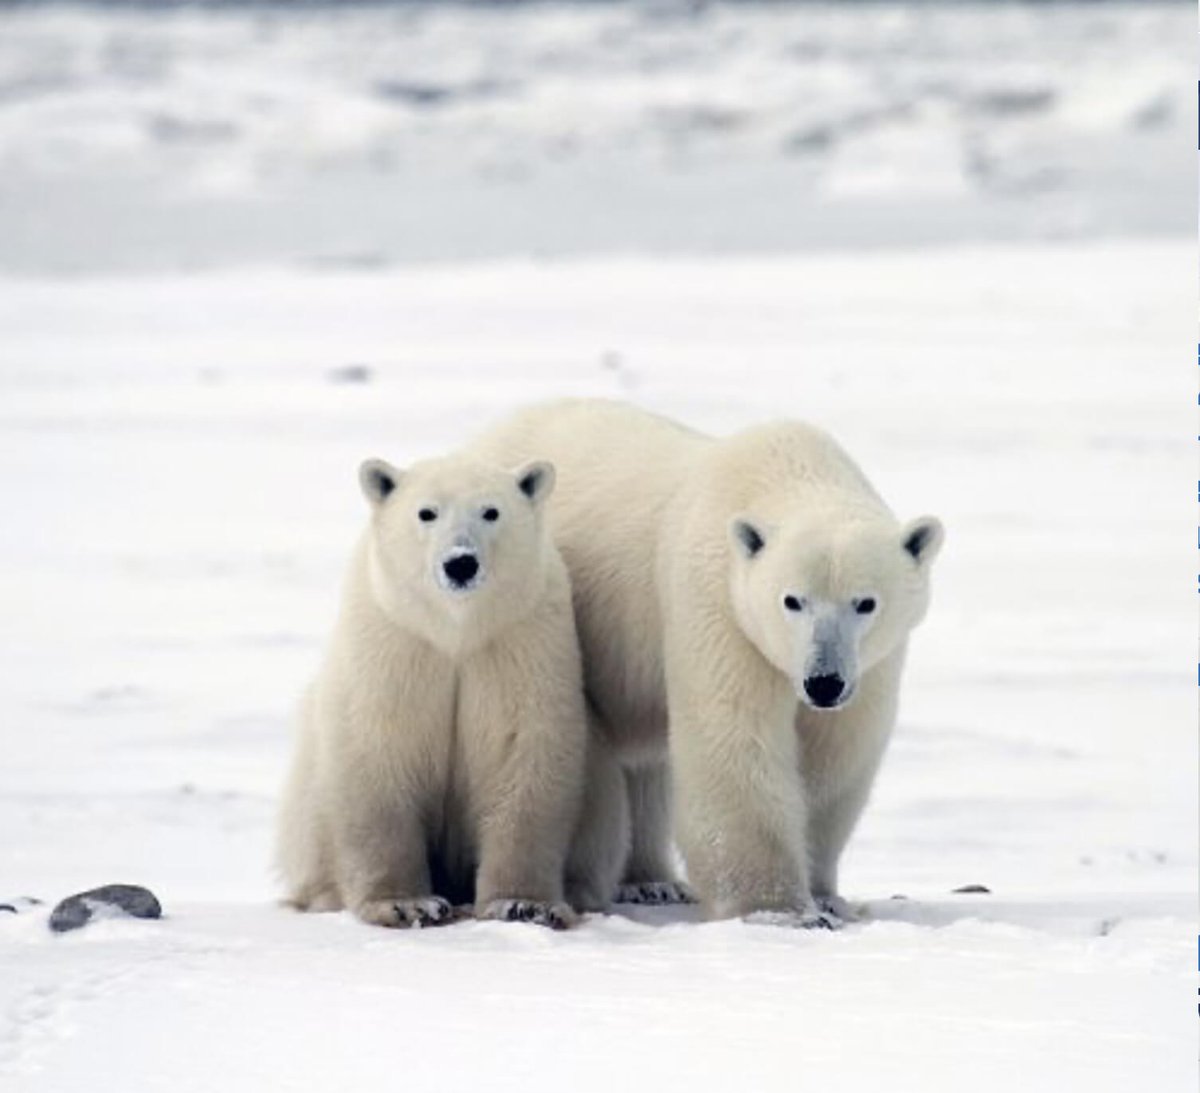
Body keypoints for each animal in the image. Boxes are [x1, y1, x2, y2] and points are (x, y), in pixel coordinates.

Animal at [276, 452, 628, 929]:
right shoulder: (394, 643)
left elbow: (522, 753)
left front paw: (523, 904)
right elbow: (379, 754)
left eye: (491, 511)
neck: (455, 631)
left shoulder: (522, 642)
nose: (461, 563)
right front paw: (406, 904)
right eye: (426, 512)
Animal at [470, 399, 944, 924]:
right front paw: (777, 909)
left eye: (866, 603)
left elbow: (834, 756)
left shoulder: (872, 664)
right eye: (791, 600)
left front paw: (825, 896)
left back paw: (652, 881)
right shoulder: (720, 602)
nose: (823, 682)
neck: (790, 471)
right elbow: (734, 739)